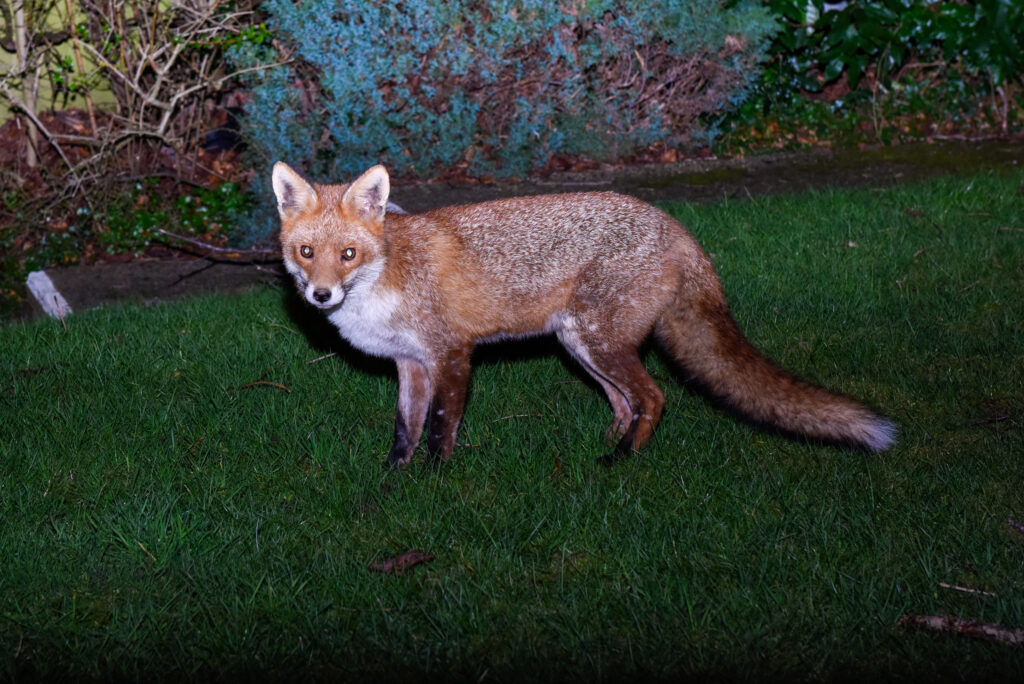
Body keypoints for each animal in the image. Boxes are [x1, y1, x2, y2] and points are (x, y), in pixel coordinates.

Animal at [272, 162, 896, 467]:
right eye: (305, 252)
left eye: (348, 255)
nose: (320, 297)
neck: (389, 275)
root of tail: (676, 227)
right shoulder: (410, 364)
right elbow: (406, 429)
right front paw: (392, 481)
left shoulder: (451, 354)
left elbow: (442, 430)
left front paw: (435, 483)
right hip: (580, 343)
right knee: (624, 402)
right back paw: (603, 446)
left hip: (597, 339)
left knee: (654, 397)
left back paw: (620, 461)